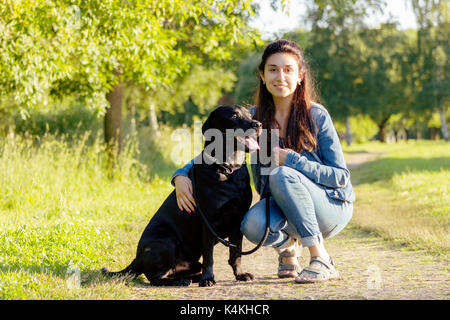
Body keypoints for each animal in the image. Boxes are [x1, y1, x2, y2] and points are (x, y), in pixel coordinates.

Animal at [102, 105, 262, 288]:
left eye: (249, 114)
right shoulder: (208, 222)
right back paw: (181, 281)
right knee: (154, 278)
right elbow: (209, 256)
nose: (258, 124)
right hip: (166, 241)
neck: (227, 169)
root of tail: (137, 258)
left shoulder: (238, 220)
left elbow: (236, 254)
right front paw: (208, 278)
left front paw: (240, 275)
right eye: (234, 116)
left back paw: (190, 278)